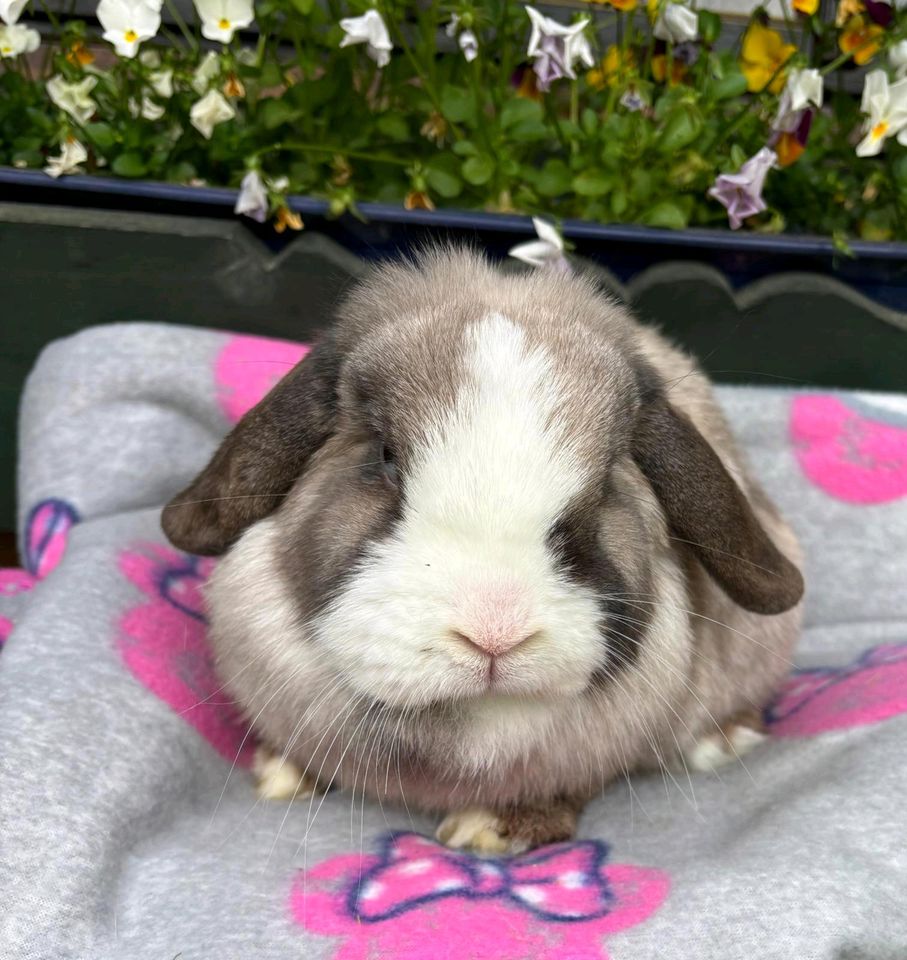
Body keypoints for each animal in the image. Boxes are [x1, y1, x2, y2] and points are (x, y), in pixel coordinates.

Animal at [161, 248, 800, 856]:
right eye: (385, 457)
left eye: (606, 487)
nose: (495, 632)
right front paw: (281, 776)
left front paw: (490, 830)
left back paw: (723, 740)